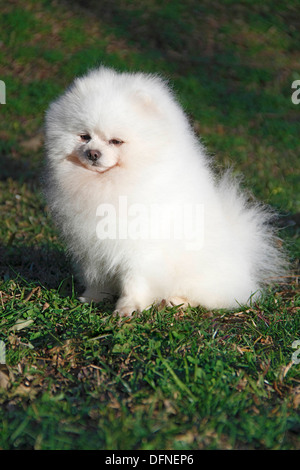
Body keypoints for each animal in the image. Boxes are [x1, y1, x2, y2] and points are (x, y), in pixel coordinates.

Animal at [44, 66, 286, 316]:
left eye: (116, 141)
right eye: (84, 136)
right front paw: (94, 297)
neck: (113, 183)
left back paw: (176, 301)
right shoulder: (92, 247)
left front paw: (128, 308)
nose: (93, 153)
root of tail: (242, 255)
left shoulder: (141, 247)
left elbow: (134, 281)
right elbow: (98, 277)